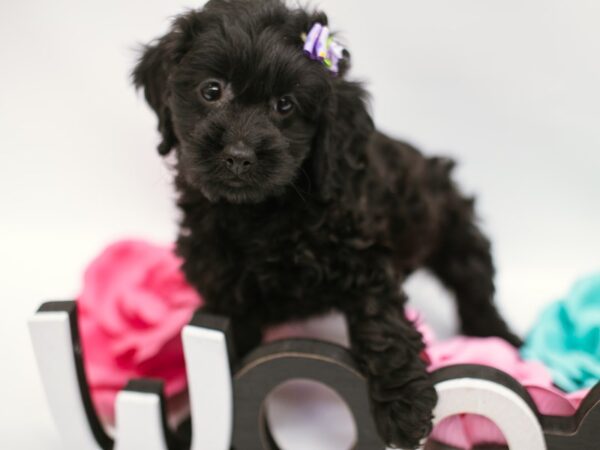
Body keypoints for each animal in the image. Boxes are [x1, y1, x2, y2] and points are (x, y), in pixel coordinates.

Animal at [134, 0, 516, 446]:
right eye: (212, 90)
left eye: (285, 105)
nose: (239, 156)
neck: (260, 212)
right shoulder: (225, 292)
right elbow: (221, 359)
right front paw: (201, 424)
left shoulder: (364, 258)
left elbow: (380, 324)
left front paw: (404, 406)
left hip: (451, 226)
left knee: (473, 279)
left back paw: (499, 337)